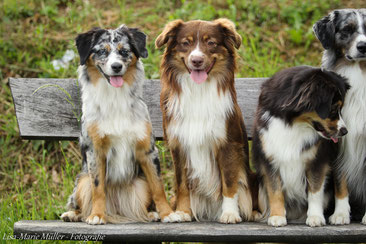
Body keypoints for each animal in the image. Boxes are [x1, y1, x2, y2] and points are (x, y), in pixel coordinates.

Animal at [60, 25, 178, 225]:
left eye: (124, 51)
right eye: (102, 51)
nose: (116, 66)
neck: (115, 97)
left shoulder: (147, 149)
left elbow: (158, 186)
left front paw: (167, 213)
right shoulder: (95, 150)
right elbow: (98, 188)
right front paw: (97, 215)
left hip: (140, 184)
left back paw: (151, 214)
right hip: (82, 181)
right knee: (82, 200)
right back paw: (74, 214)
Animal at [154, 18, 254, 223]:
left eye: (211, 43)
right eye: (186, 43)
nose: (197, 60)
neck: (198, 89)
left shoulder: (227, 144)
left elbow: (229, 182)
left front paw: (230, 213)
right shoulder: (179, 145)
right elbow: (182, 183)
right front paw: (183, 211)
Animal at [252, 65, 348, 227]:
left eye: (340, 109)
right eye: (333, 109)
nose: (345, 131)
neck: (293, 123)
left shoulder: (317, 160)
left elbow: (315, 190)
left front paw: (315, 217)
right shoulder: (269, 158)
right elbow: (275, 190)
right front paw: (277, 216)